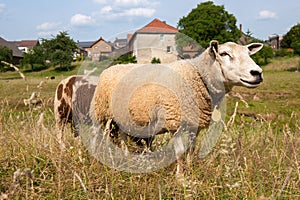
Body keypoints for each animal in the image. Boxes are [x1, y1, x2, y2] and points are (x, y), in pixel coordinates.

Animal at [89, 41, 262, 175]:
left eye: (248, 53)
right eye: (224, 53)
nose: (257, 73)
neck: (198, 76)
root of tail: (111, 67)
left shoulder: (194, 125)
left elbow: (191, 150)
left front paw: (191, 170)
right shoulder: (175, 122)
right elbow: (179, 152)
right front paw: (180, 177)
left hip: (123, 116)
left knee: (123, 136)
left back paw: (125, 156)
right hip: (101, 112)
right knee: (97, 134)